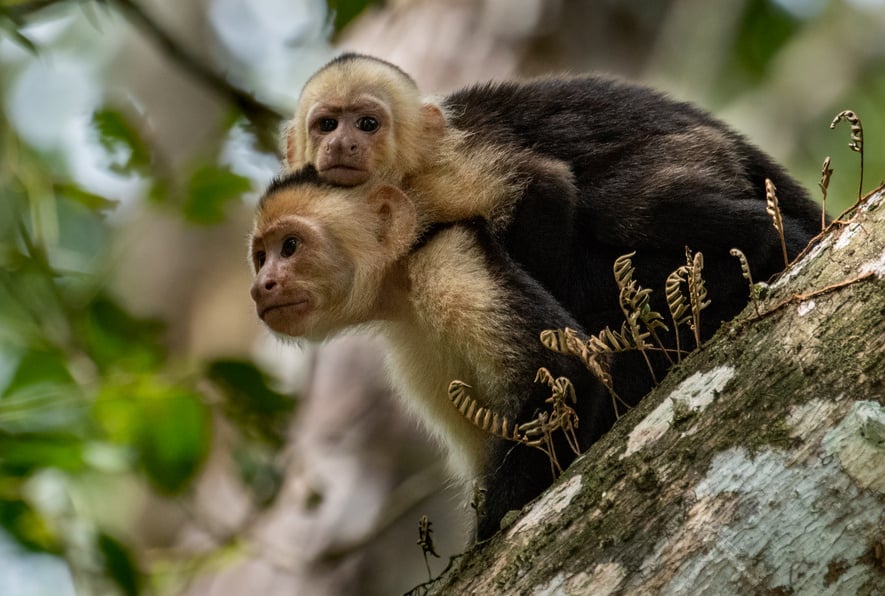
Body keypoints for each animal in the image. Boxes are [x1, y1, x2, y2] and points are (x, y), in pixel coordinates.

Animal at [245, 165, 612, 544]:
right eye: (261, 258)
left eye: (290, 246)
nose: (260, 287)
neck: (400, 281)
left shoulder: (447, 259)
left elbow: (565, 372)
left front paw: (486, 533)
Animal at [284, 52, 820, 406]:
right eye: (327, 125)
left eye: (367, 123)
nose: (344, 145)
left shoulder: (442, 176)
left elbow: (548, 187)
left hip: (698, 150)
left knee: (622, 205)